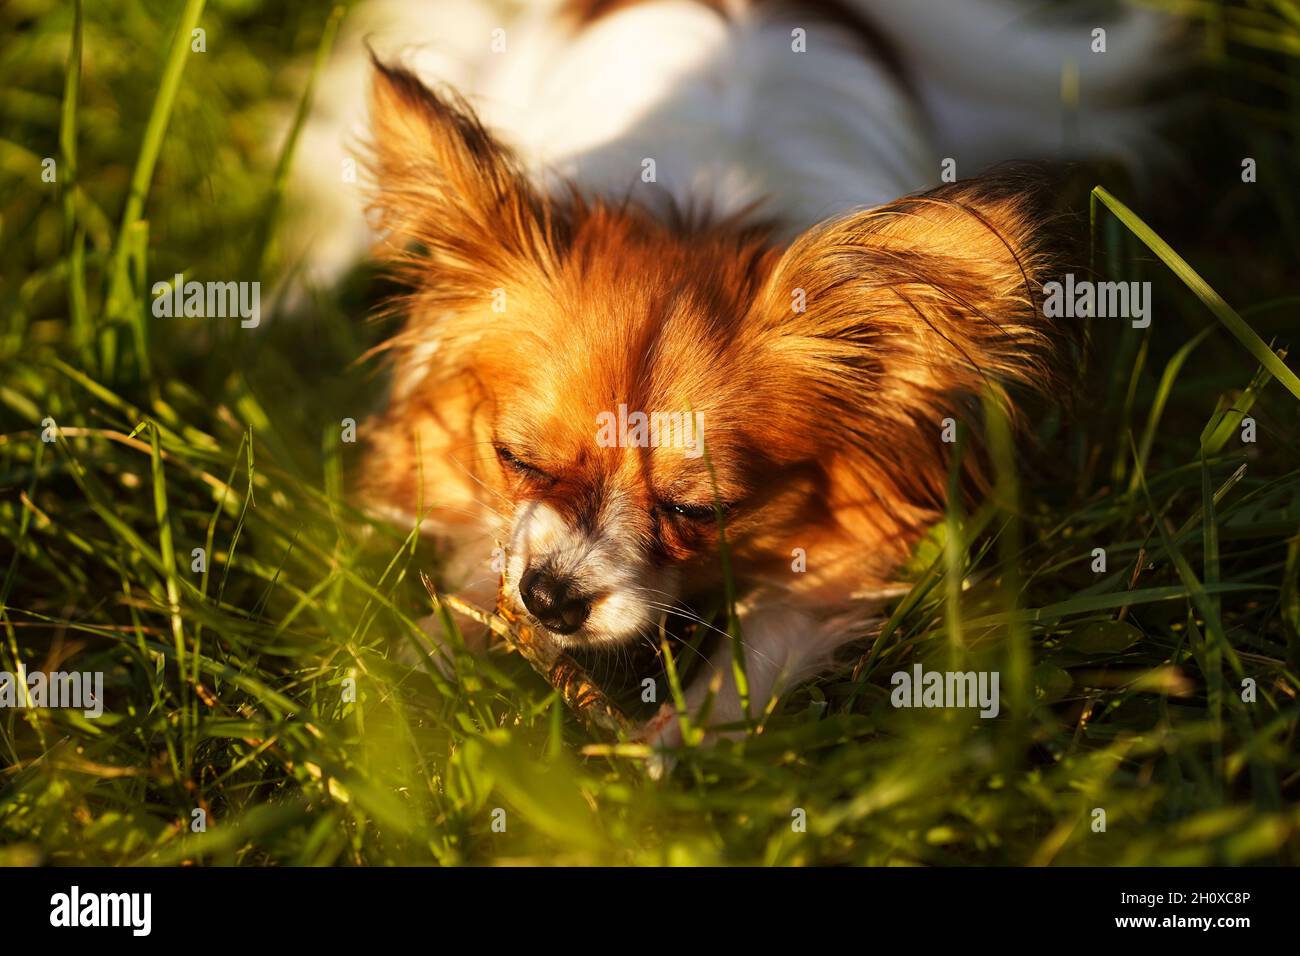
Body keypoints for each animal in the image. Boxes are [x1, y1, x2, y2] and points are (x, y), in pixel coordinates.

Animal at [312, 0, 1180, 749]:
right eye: (515, 459)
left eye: (697, 510)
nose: (552, 598)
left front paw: (670, 756)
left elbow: (749, 666)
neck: (700, 208)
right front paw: (414, 664)